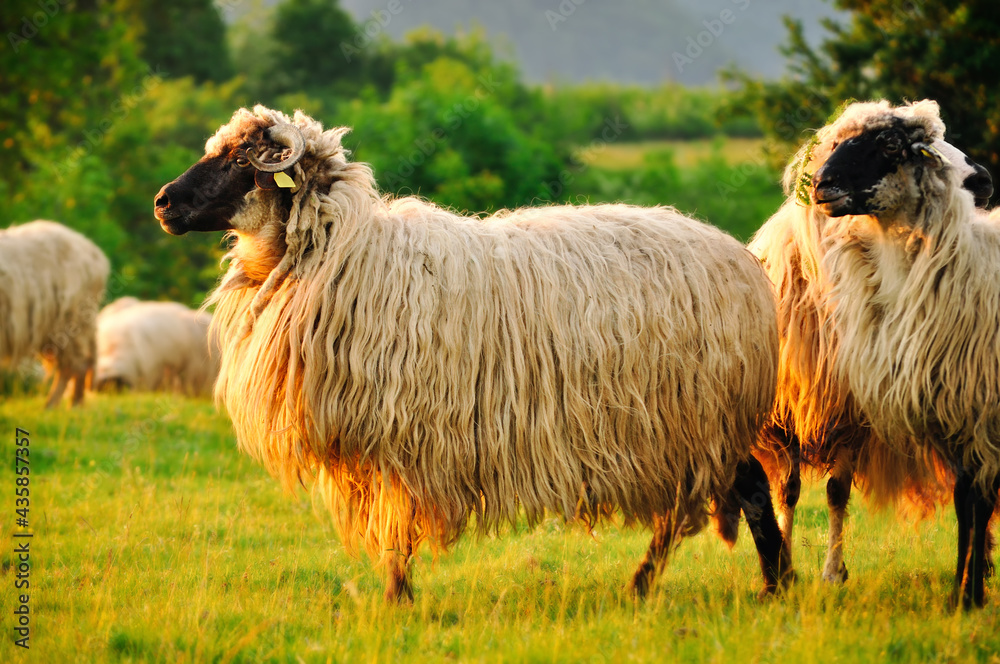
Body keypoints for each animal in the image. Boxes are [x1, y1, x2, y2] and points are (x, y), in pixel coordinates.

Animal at [154, 105, 793, 602]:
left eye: (242, 161)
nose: (162, 202)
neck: (343, 252)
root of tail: (744, 261)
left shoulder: (400, 431)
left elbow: (395, 529)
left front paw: (397, 599)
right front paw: (398, 596)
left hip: (702, 416)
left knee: (750, 489)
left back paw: (767, 586)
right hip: (680, 426)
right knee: (697, 507)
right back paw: (664, 585)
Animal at [760, 98, 999, 608]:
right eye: (892, 144)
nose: (983, 180)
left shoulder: (855, 419)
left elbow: (835, 492)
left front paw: (832, 573)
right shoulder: (784, 417)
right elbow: (788, 491)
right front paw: (781, 572)